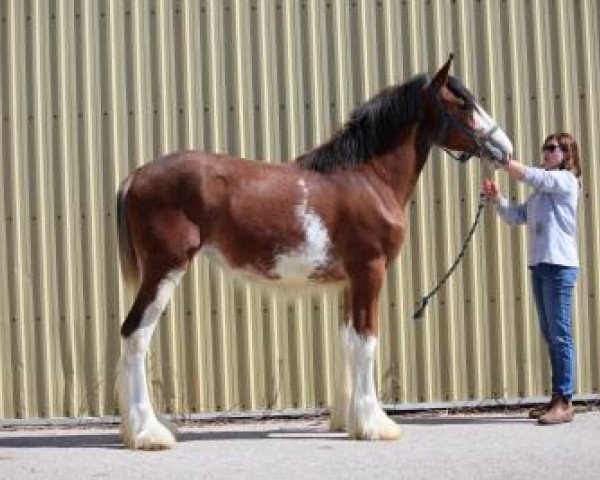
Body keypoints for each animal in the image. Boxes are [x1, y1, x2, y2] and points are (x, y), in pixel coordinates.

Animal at [115, 56, 512, 450]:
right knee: (135, 336)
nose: (505, 149)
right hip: (165, 268)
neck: (368, 177)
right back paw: (150, 433)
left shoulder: (350, 281)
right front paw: (376, 425)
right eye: (463, 104)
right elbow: (367, 342)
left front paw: (349, 421)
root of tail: (136, 176)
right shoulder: (370, 271)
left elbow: (349, 342)